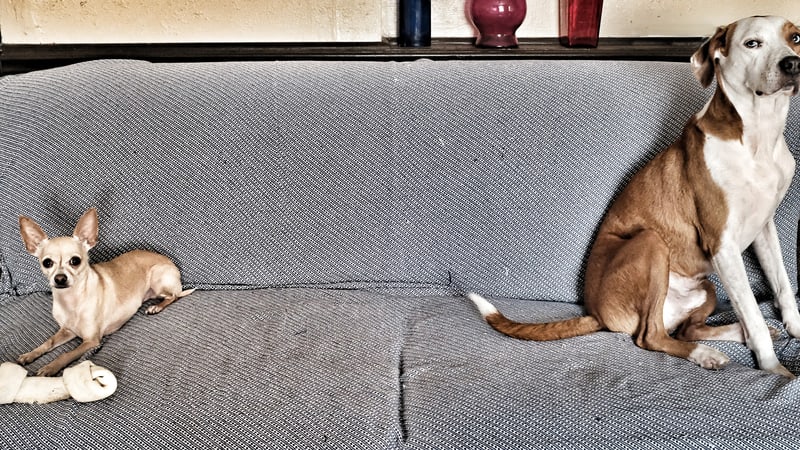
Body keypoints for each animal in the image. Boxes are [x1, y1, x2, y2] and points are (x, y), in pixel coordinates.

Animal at [468, 15, 800, 376]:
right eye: (752, 43)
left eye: (795, 38)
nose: (792, 64)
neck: (760, 136)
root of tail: (597, 314)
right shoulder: (722, 244)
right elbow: (753, 312)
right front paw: (775, 369)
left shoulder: (764, 228)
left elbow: (782, 285)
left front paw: (793, 328)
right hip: (651, 242)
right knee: (650, 336)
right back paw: (705, 353)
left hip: (707, 287)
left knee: (687, 329)